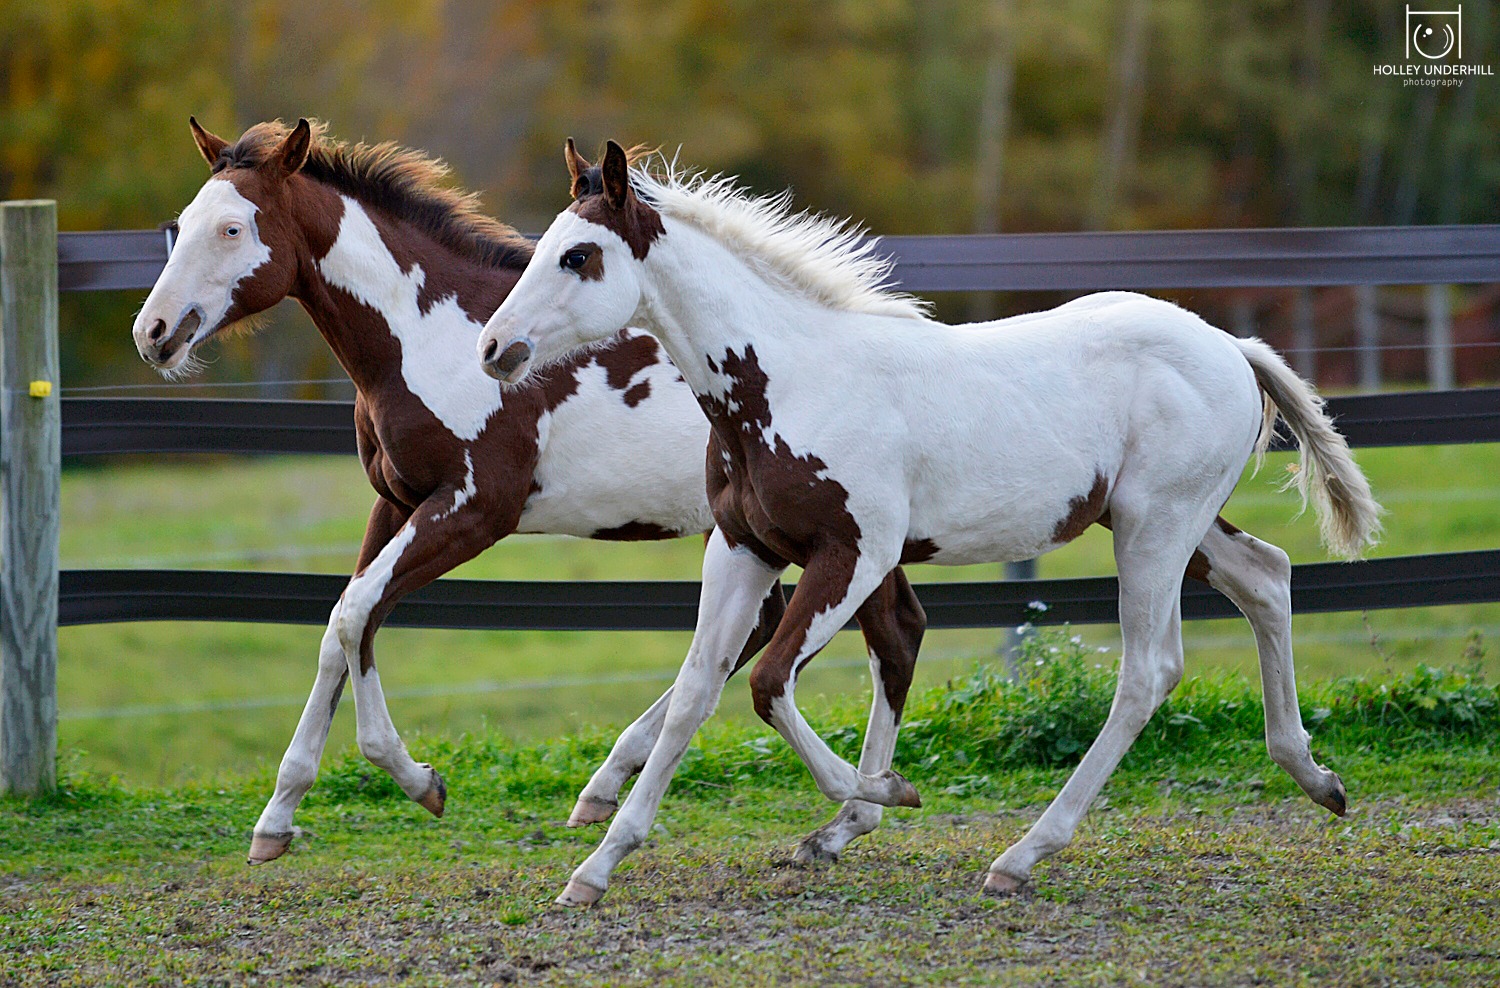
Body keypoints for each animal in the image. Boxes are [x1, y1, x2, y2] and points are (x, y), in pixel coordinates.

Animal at [132, 121, 924, 863]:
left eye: (233, 229)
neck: (430, 337)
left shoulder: (475, 509)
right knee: (810, 635)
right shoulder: (397, 502)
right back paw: (620, 789)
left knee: (873, 635)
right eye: (181, 223)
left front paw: (418, 780)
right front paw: (277, 819)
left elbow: (355, 615)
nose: (154, 332)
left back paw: (848, 804)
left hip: (832, 536)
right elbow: (346, 625)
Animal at [474, 139, 1374, 905]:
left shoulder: (856, 553)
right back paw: (1317, 777)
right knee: (1266, 578)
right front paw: (597, 865)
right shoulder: (744, 549)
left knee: (1148, 671)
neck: (787, 380)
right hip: (1173, 525)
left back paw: (1022, 854)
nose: (493, 349)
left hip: (1155, 527)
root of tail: (1231, 346)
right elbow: (699, 688)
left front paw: (881, 794)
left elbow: (768, 684)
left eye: (579, 255)